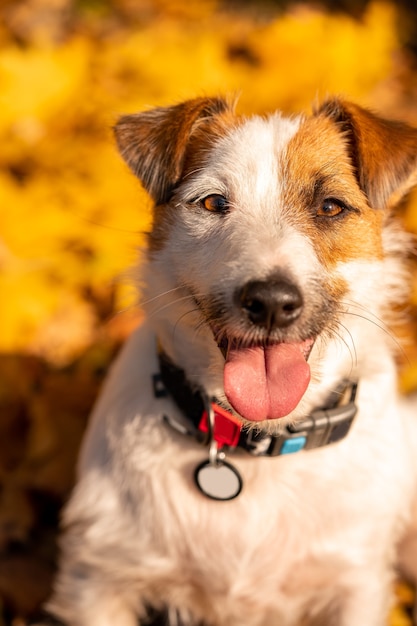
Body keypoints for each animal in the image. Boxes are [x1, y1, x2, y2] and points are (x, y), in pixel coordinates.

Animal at [41, 97, 416, 624]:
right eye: (213, 203)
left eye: (330, 206)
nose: (271, 301)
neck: (256, 443)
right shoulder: (98, 578)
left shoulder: (354, 582)